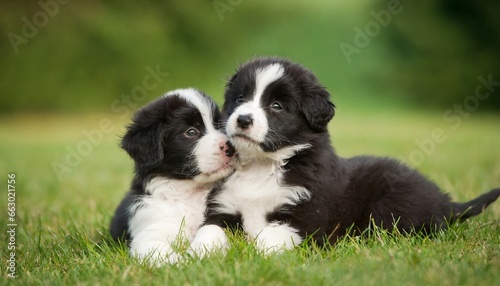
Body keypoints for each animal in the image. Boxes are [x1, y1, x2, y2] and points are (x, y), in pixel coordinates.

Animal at [110, 87, 235, 264]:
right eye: (191, 132)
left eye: (219, 126)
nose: (231, 147)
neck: (190, 192)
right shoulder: (148, 234)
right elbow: (165, 256)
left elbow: (212, 230)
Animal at [189, 56, 498, 255]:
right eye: (240, 99)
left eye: (276, 105)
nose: (242, 119)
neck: (263, 166)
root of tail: (447, 203)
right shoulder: (224, 208)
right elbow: (208, 231)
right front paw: (196, 255)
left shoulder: (306, 218)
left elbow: (267, 239)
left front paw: (251, 253)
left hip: (390, 205)